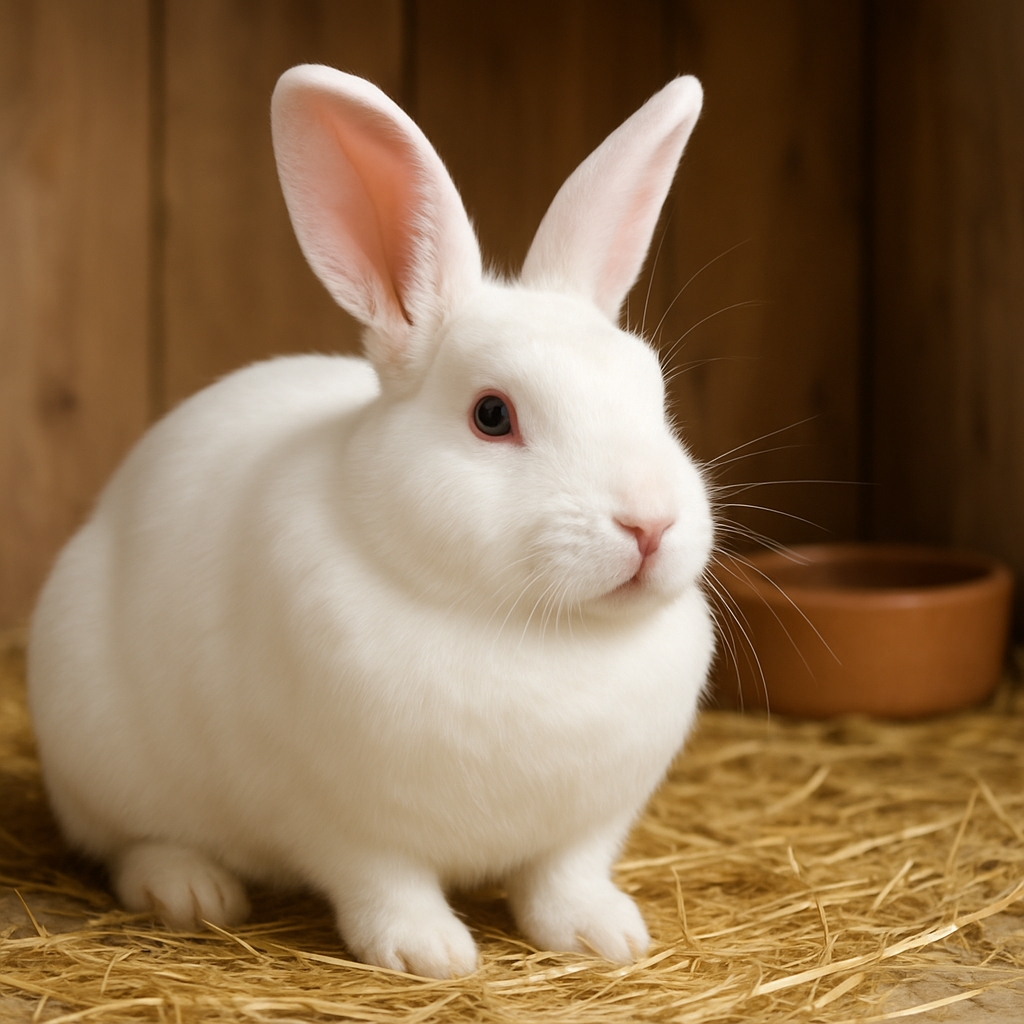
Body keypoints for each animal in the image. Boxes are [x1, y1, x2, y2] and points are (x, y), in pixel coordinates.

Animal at [27, 64, 713, 979]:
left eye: (654, 394)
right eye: (492, 415)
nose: (649, 525)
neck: (533, 630)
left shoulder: (589, 821)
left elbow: (563, 876)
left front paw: (607, 935)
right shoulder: (339, 818)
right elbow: (385, 882)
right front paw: (429, 954)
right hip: (100, 756)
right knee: (131, 842)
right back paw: (191, 892)